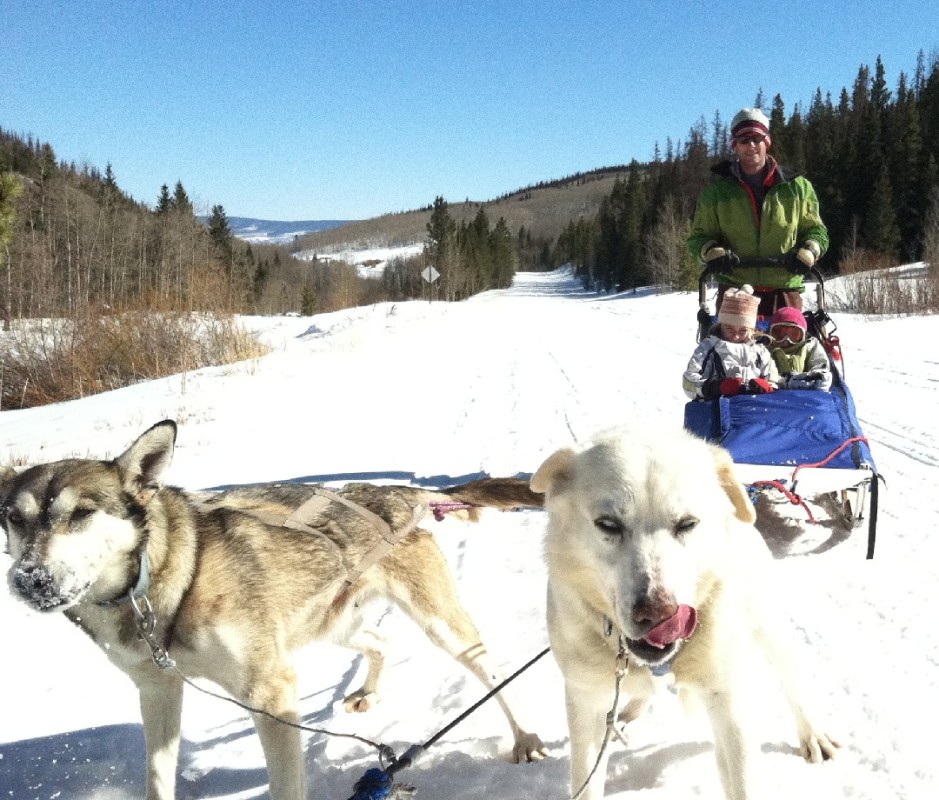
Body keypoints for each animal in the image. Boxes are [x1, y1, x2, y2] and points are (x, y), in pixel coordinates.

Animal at [1, 418, 544, 800]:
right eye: (14, 519)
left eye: (81, 513)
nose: (29, 580)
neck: (161, 580)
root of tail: (395, 491)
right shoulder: (159, 691)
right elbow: (158, 776)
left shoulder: (270, 692)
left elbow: (284, 784)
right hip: (331, 623)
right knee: (379, 641)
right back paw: (368, 691)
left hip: (441, 626)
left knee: (492, 673)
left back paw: (524, 736)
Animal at [532, 424, 840, 800]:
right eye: (608, 524)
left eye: (687, 523)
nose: (658, 612)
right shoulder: (586, 701)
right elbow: (586, 783)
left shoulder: (729, 705)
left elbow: (743, 780)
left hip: (767, 627)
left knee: (791, 680)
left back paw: (813, 734)